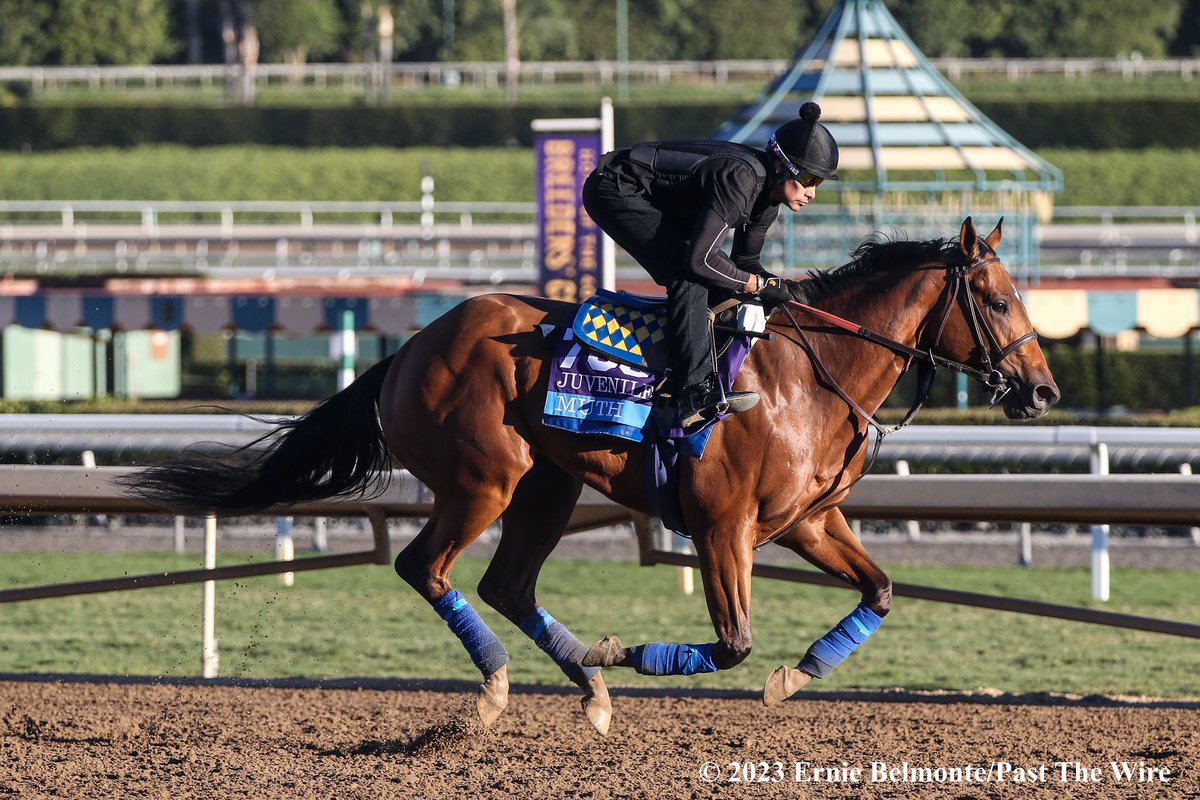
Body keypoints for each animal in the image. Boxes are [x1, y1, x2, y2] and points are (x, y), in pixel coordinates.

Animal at [121, 217, 1060, 738]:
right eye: (998, 300)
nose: (1044, 390)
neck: (808, 372)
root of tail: (411, 345)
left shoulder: (807, 521)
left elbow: (880, 592)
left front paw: (795, 678)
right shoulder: (721, 527)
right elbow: (732, 642)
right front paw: (628, 650)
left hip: (549, 485)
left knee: (506, 584)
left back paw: (591, 689)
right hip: (483, 482)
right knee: (427, 567)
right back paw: (507, 687)